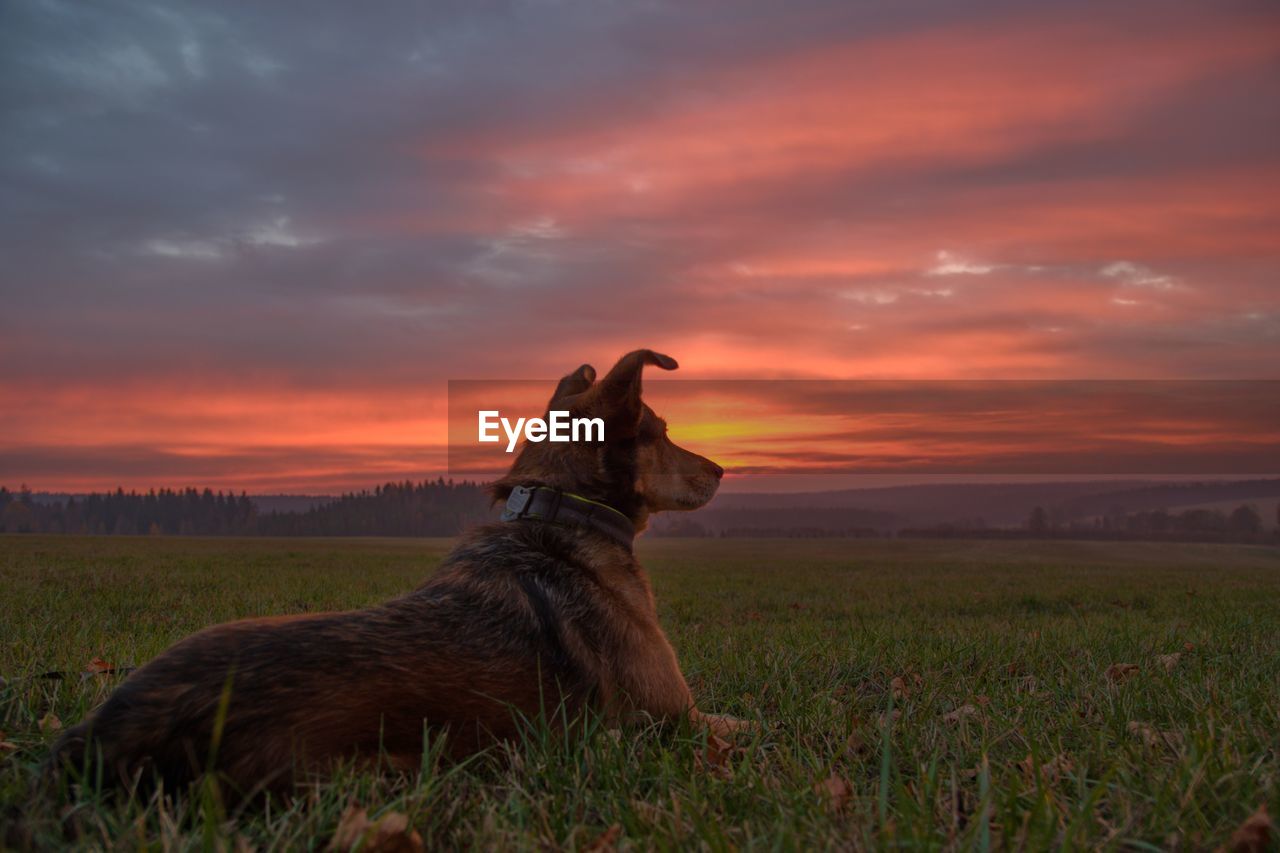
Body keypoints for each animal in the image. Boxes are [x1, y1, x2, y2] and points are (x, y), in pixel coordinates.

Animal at [49, 348, 747, 794]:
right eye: (659, 431)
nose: (722, 469)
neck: (559, 514)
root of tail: (106, 736)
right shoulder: (676, 722)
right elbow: (746, 724)